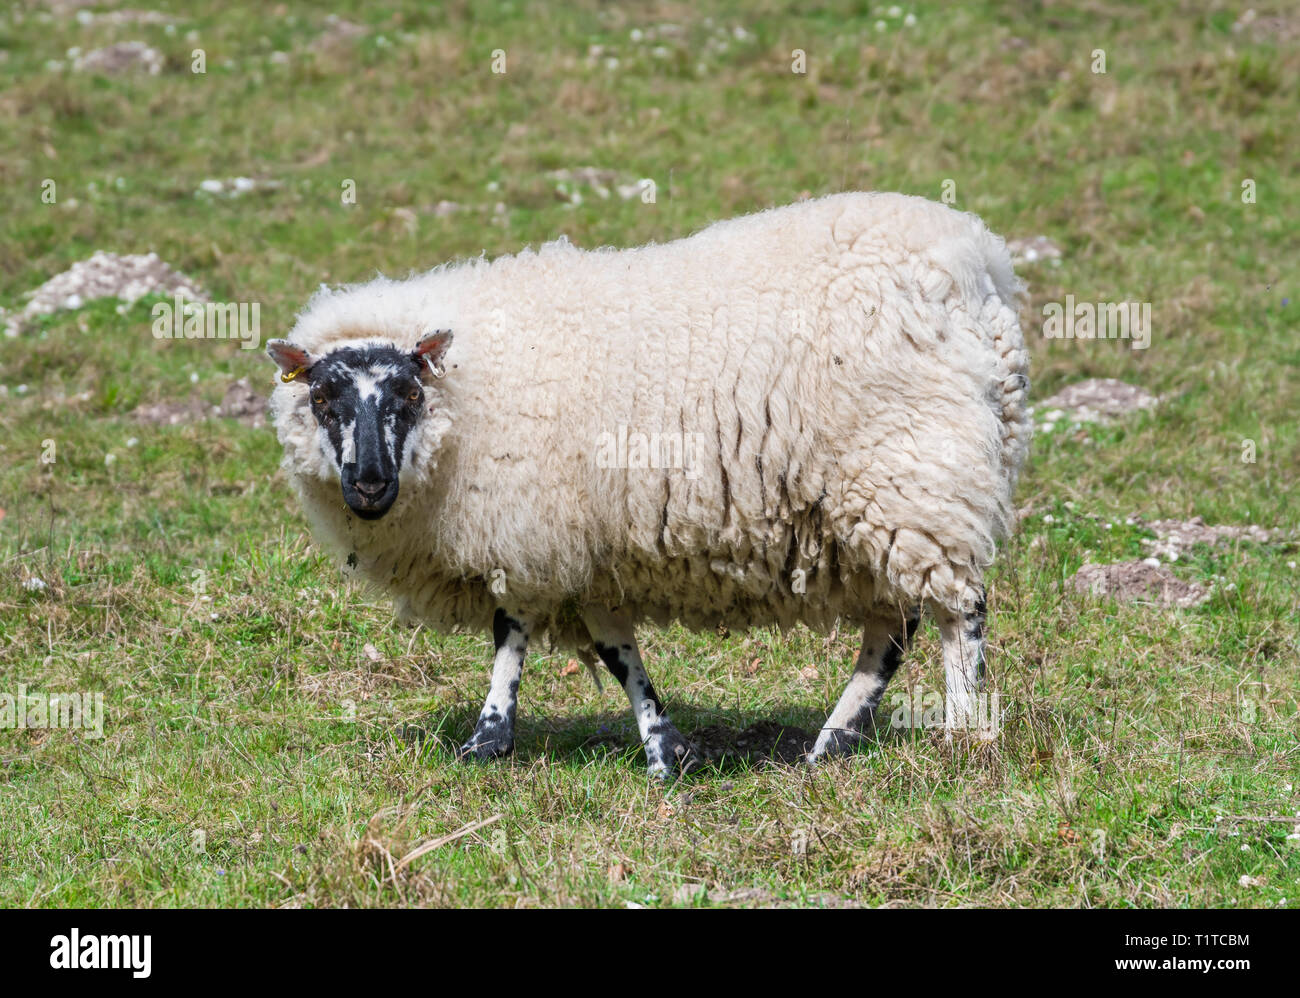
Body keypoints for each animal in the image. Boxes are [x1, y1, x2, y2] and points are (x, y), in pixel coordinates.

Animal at [266, 191, 1030, 776]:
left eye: (408, 396)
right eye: (323, 399)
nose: (368, 485)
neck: (471, 391)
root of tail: (978, 264)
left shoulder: (527, 526)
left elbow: (511, 633)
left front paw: (488, 741)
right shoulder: (586, 545)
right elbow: (617, 650)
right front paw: (665, 750)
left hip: (917, 473)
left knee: (961, 612)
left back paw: (965, 734)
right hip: (879, 500)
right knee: (892, 625)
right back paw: (831, 744)